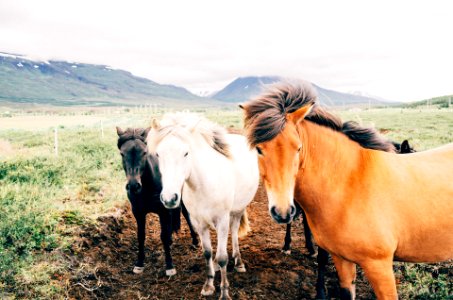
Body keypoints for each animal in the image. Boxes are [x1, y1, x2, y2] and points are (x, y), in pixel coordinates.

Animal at [115, 126, 197, 276]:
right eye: (122, 154)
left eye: (144, 152)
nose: (134, 185)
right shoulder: (138, 213)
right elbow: (141, 236)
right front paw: (139, 264)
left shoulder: (163, 211)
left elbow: (163, 236)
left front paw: (169, 266)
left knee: (186, 215)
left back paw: (194, 241)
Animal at [147, 113, 258, 300]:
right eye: (158, 154)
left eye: (186, 153)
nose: (169, 198)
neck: (203, 185)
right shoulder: (198, 223)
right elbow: (207, 253)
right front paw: (208, 285)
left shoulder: (222, 221)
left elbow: (222, 257)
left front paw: (224, 293)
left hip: (238, 210)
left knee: (235, 231)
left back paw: (239, 262)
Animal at [242, 81, 452, 298]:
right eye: (258, 149)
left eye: (298, 148)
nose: (282, 211)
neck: (350, 185)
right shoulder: (342, 258)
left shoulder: (378, 265)